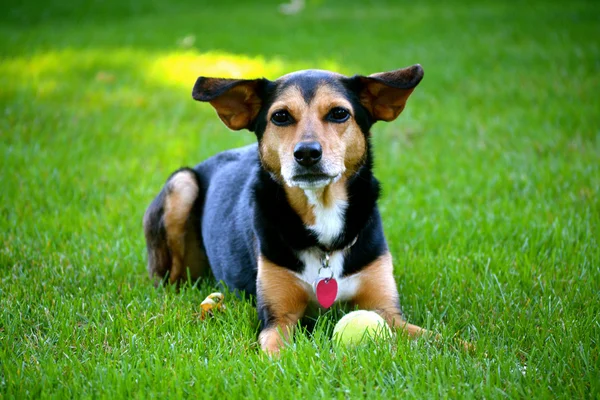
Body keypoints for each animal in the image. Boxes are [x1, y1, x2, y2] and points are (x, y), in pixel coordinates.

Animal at [144, 65, 426, 354]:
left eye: (339, 113)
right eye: (280, 116)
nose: (307, 153)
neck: (322, 213)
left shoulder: (388, 311)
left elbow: (435, 337)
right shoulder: (278, 318)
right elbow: (277, 353)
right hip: (182, 185)